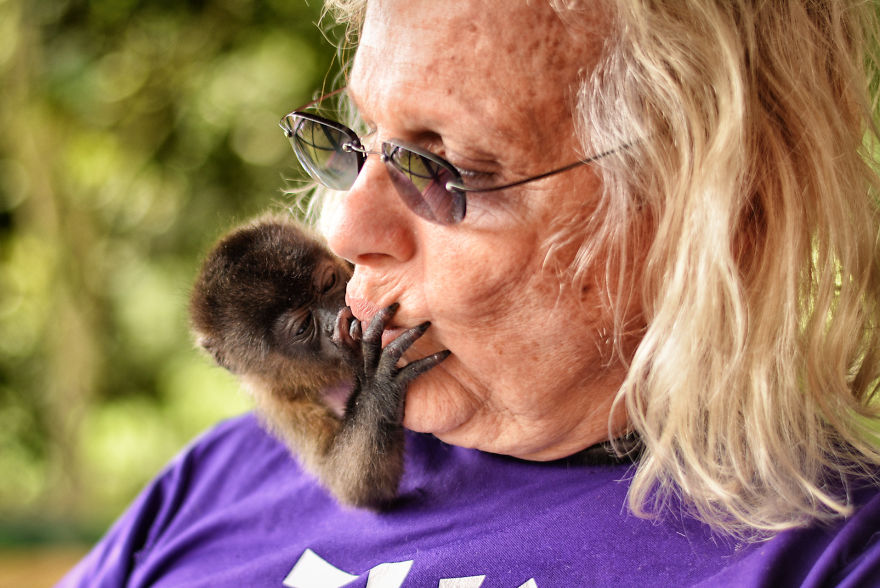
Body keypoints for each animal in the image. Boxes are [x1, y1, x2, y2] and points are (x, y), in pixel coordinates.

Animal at [189, 214, 449, 508]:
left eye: (329, 282)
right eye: (303, 327)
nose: (344, 314)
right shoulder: (284, 403)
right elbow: (353, 487)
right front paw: (378, 386)